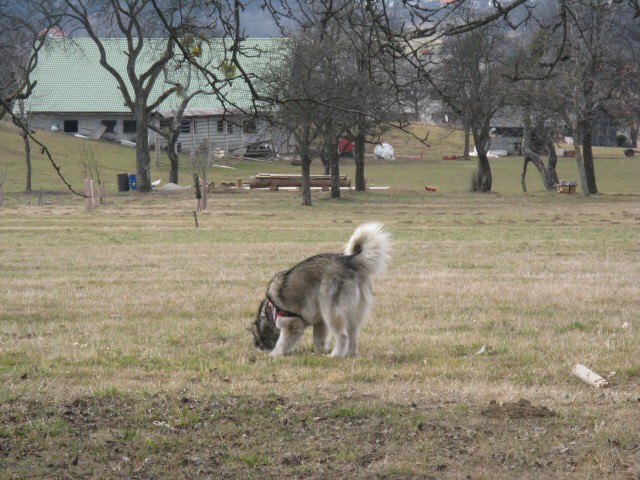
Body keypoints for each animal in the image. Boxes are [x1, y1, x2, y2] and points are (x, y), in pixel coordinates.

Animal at [249, 222, 390, 356]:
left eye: (257, 339)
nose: (257, 347)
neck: (271, 309)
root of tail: (349, 261)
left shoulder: (292, 325)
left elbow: (283, 343)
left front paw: (274, 354)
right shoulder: (320, 322)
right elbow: (318, 339)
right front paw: (318, 353)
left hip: (330, 310)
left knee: (343, 336)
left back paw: (335, 355)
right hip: (353, 313)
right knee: (353, 335)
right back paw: (350, 354)